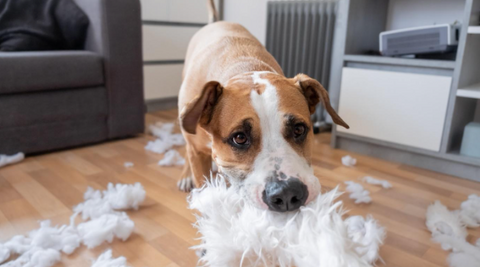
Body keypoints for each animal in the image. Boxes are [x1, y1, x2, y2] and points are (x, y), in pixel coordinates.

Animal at [178, 0, 346, 214]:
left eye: (299, 129)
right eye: (239, 138)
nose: (287, 193)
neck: (244, 68)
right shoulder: (198, 156)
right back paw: (186, 175)